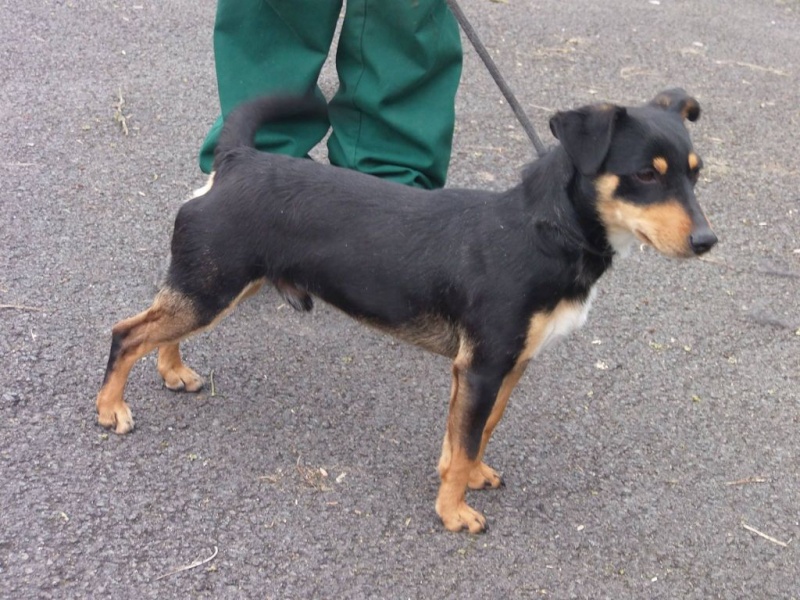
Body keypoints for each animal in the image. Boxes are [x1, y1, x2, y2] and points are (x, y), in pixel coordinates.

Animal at [95, 86, 720, 532]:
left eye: (696, 173)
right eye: (645, 175)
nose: (707, 241)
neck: (543, 230)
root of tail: (237, 159)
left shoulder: (506, 366)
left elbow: (476, 434)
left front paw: (466, 477)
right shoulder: (483, 366)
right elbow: (466, 440)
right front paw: (453, 513)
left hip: (214, 286)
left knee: (159, 328)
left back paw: (174, 372)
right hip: (211, 288)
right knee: (127, 333)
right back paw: (111, 409)